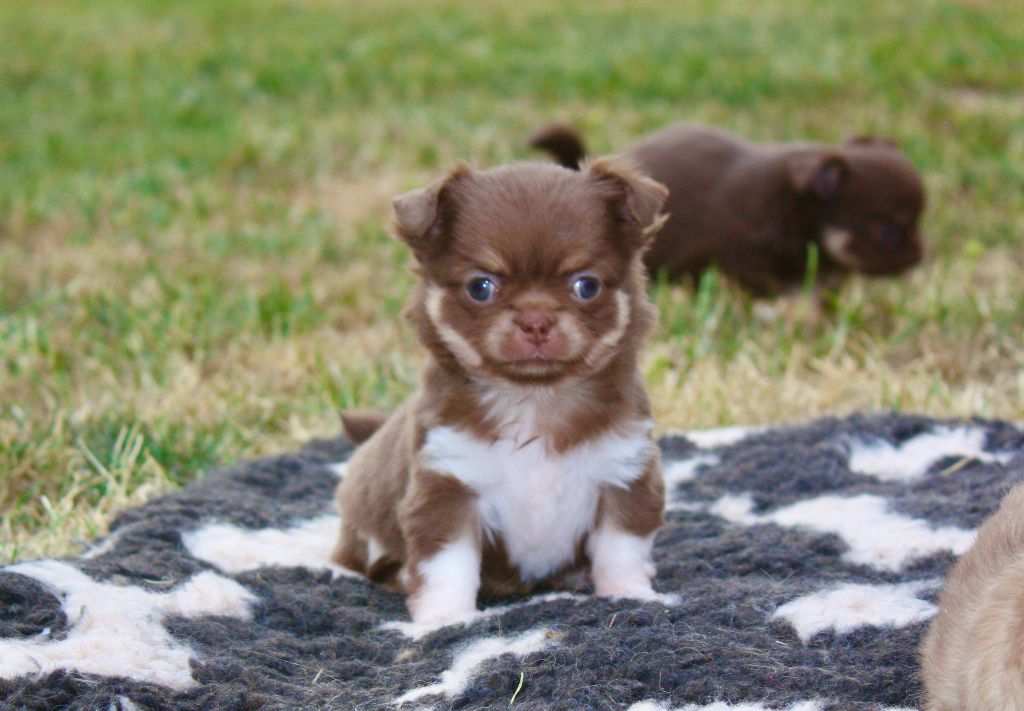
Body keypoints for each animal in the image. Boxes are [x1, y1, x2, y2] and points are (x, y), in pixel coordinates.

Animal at [331, 157, 671, 631]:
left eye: (586, 286)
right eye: (481, 287)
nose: (535, 320)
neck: (536, 398)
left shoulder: (625, 475)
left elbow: (621, 547)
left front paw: (629, 595)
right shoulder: (447, 488)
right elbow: (448, 565)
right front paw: (444, 619)